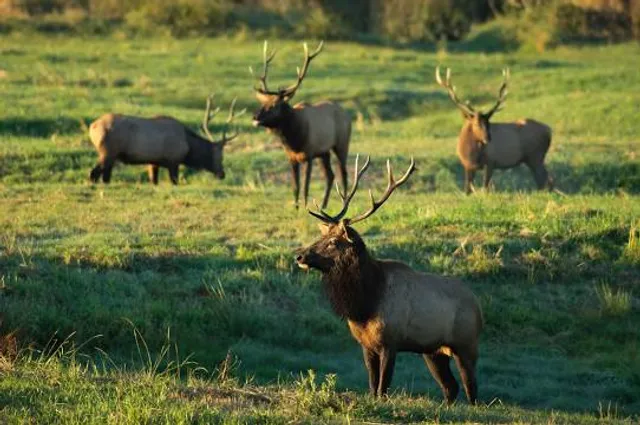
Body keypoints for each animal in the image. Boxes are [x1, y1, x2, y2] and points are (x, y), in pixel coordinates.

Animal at [88, 95, 242, 184]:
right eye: (220, 157)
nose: (222, 174)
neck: (188, 146)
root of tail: (92, 127)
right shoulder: (173, 161)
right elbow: (174, 181)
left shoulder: (153, 163)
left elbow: (154, 181)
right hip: (108, 153)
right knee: (93, 174)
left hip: (110, 156)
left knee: (105, 176)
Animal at [251, 41, 352, 209]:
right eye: (263, 103)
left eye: (274, 106)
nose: (255, 118)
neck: (293, 140)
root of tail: (347, 114)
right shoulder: (292, 158)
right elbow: (295, 186)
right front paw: (296, 208)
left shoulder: (309, 154)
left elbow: (305, 186)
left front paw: (305, 208)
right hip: (324, 152)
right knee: (330, 175)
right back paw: (323, 205)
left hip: (341, 144)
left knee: (343, 173)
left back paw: (344, 202)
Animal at [296, 155, 483, 405]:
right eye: (321, 236)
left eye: (334, 242)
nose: (299, 256)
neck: (365, 304)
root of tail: (478, 306)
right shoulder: (367, 345)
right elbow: (372, 386)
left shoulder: (390, 342)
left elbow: (383, 388)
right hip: (434, 352)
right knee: (450, 387)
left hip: (466, 345)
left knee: (472, 389)